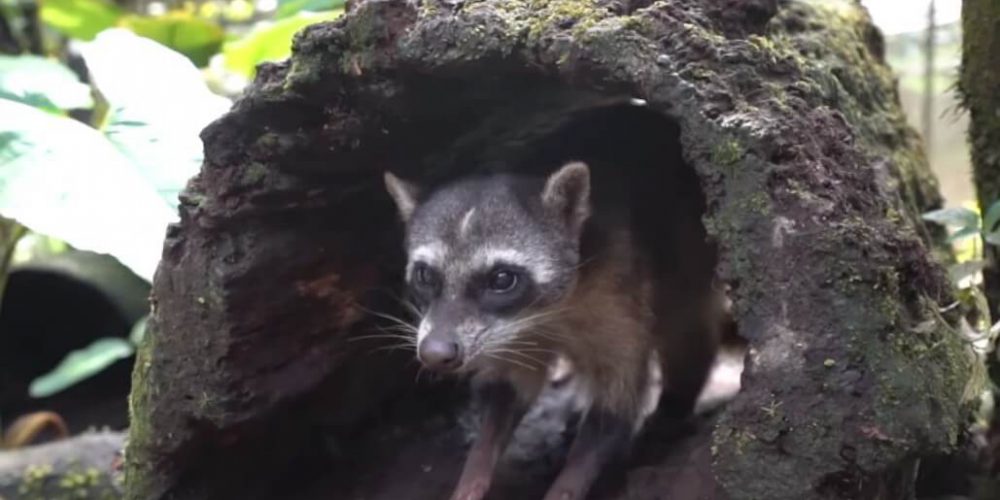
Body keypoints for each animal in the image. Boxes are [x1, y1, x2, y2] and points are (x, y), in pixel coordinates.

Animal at [380, 162, 720, 498]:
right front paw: (475, 470)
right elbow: (507, 393)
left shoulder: (620, 294)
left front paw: (567, 484)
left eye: (501, 279)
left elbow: (613, 407)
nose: (435, 353)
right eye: (425, 275)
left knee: (684, 328)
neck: (544, 314)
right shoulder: (508, 337)